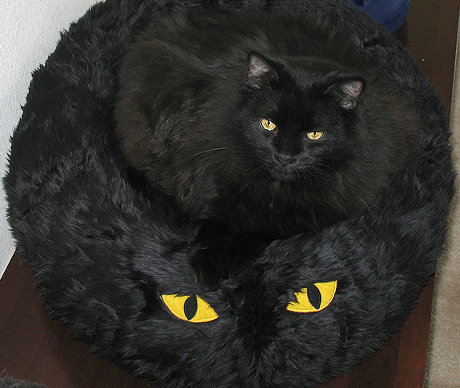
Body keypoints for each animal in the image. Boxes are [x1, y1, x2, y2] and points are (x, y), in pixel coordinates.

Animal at [116, 9, 420, 288]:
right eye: (269, 124)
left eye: (314, 134)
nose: (285, 156)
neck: (274, 187)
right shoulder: (214, 178)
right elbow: (215, 221)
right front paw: (207, 266)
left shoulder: (305, 215)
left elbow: (261, 231)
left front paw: (221, 262)